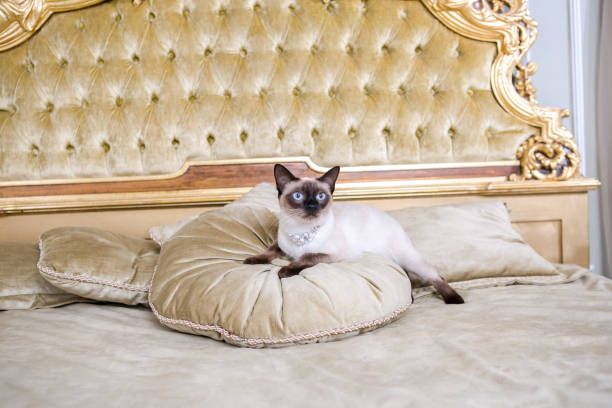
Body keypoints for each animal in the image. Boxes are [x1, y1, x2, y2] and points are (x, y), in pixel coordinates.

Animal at [244, 163, 464, 302]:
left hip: (409, 259)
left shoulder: (333, 255)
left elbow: (306, 257)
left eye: (321, 196)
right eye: (298, 196)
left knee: (436, 276)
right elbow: (269, 250)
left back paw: (454, 299)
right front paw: (252, 260)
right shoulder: (282, 244)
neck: (301, 232)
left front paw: (284, 270)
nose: (312, 205)